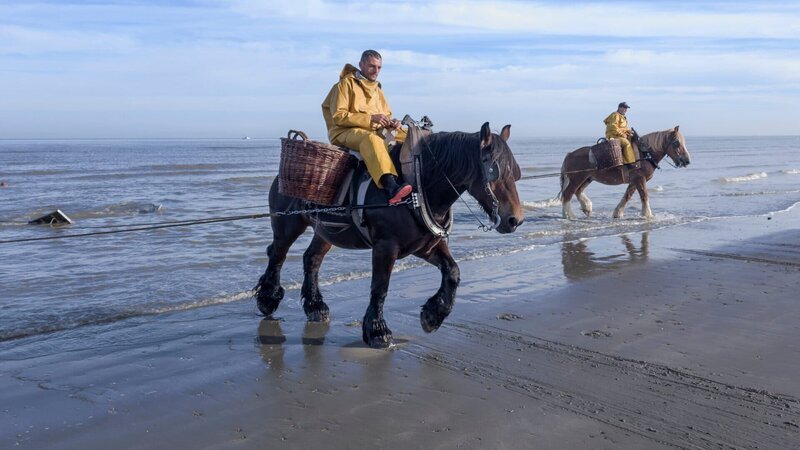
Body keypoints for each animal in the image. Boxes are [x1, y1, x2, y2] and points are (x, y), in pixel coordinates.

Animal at [254, 122, 525, 348]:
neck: (418, 185)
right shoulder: (385, 247)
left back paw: (315, 306)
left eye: (514, 172)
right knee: (277, 255)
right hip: (288, 223)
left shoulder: (425, 246)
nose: (515, 219)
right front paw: (377, 330)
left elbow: (453, 272)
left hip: (326, 231)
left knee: (311, 259)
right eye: (493, 170)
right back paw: (268, 298)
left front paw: (433, 315)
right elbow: (380, 287)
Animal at [560, 126, 691, 220]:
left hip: (587, 178)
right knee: (567, 194)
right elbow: (644, 196)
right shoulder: (640, 179)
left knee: (578, 191)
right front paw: (648, 215)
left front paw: (618, 213)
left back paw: (586, 207)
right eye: (676, 143)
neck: (645, 154)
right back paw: (569, 215)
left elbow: (627, 195)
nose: (687, 161)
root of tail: (570, 154)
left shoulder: (635, 180)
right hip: (577, 179)